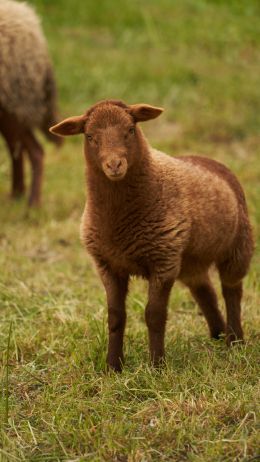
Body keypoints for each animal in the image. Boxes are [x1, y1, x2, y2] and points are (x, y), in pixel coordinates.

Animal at [50, 100, 254, 372]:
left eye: (130, 129)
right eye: (90, 136)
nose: (114, 165)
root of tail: (209, 160)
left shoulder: (163, 262)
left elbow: (154, 315)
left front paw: (157, 366)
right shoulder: (107, 265)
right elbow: (115, 317)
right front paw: (113, 366)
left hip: (238, 246)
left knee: (231, 290)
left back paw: (235, 341)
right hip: (190, 260)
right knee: (205, 291)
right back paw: (218, 335)